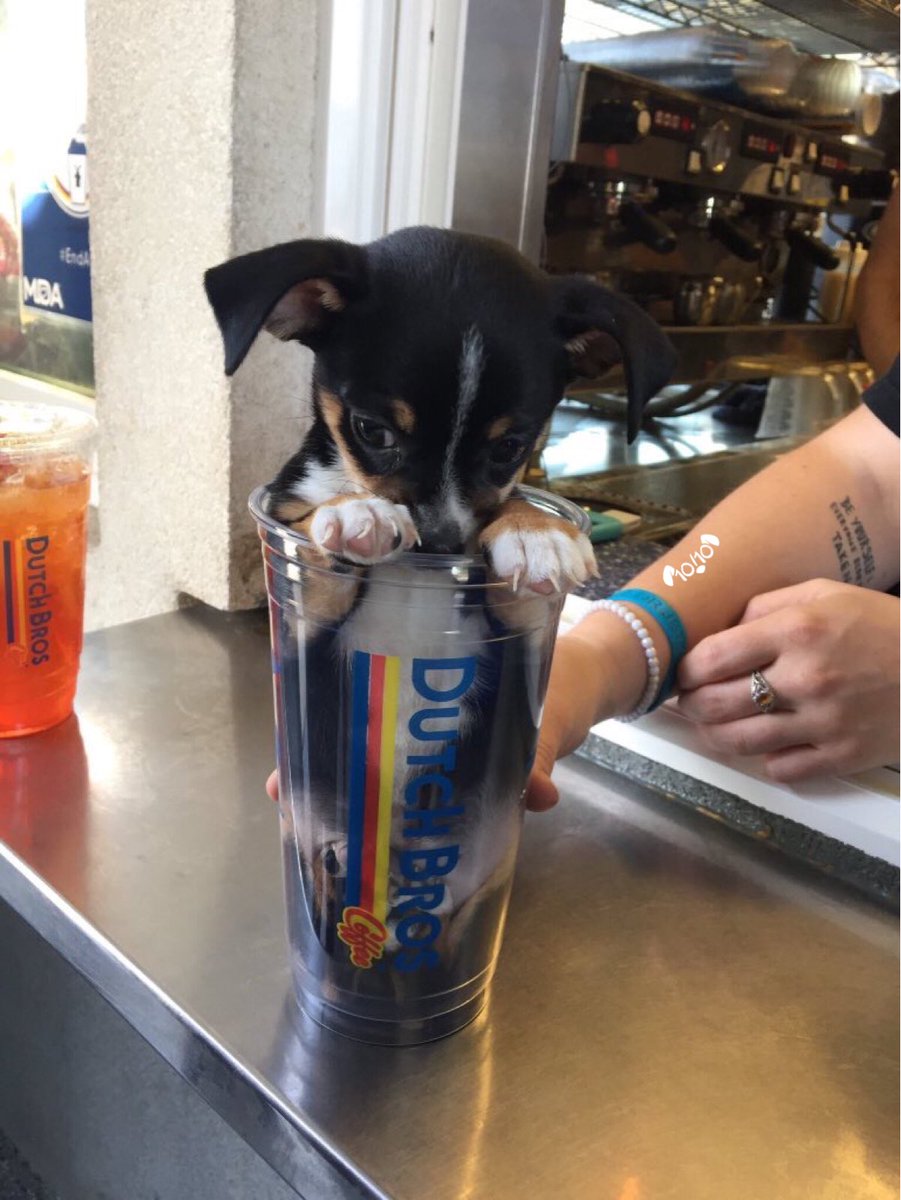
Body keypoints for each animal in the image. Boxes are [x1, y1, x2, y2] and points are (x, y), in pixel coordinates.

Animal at [205, 227, 675, 997]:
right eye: (371, 430)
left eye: (510, 446)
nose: (444, 545)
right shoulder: (301, 606)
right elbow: (317, 524)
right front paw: (356, 511)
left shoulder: (517, 635)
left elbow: (523, 557)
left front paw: (537, 531)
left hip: (475, 881)